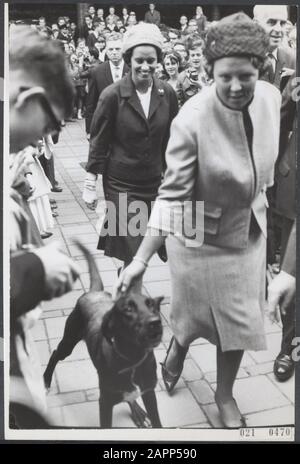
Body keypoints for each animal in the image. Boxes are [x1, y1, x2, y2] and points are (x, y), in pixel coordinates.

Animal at [43, 243, 163, 428]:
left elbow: (157, 420)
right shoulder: (105, 402)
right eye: (128, 309)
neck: (132, 359)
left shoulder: (149, 393)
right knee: (56, 353)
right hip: (69, 341)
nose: (155, 322)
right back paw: (46, 380)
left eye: (153, 306)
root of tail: (94, 292)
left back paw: (136, 410)